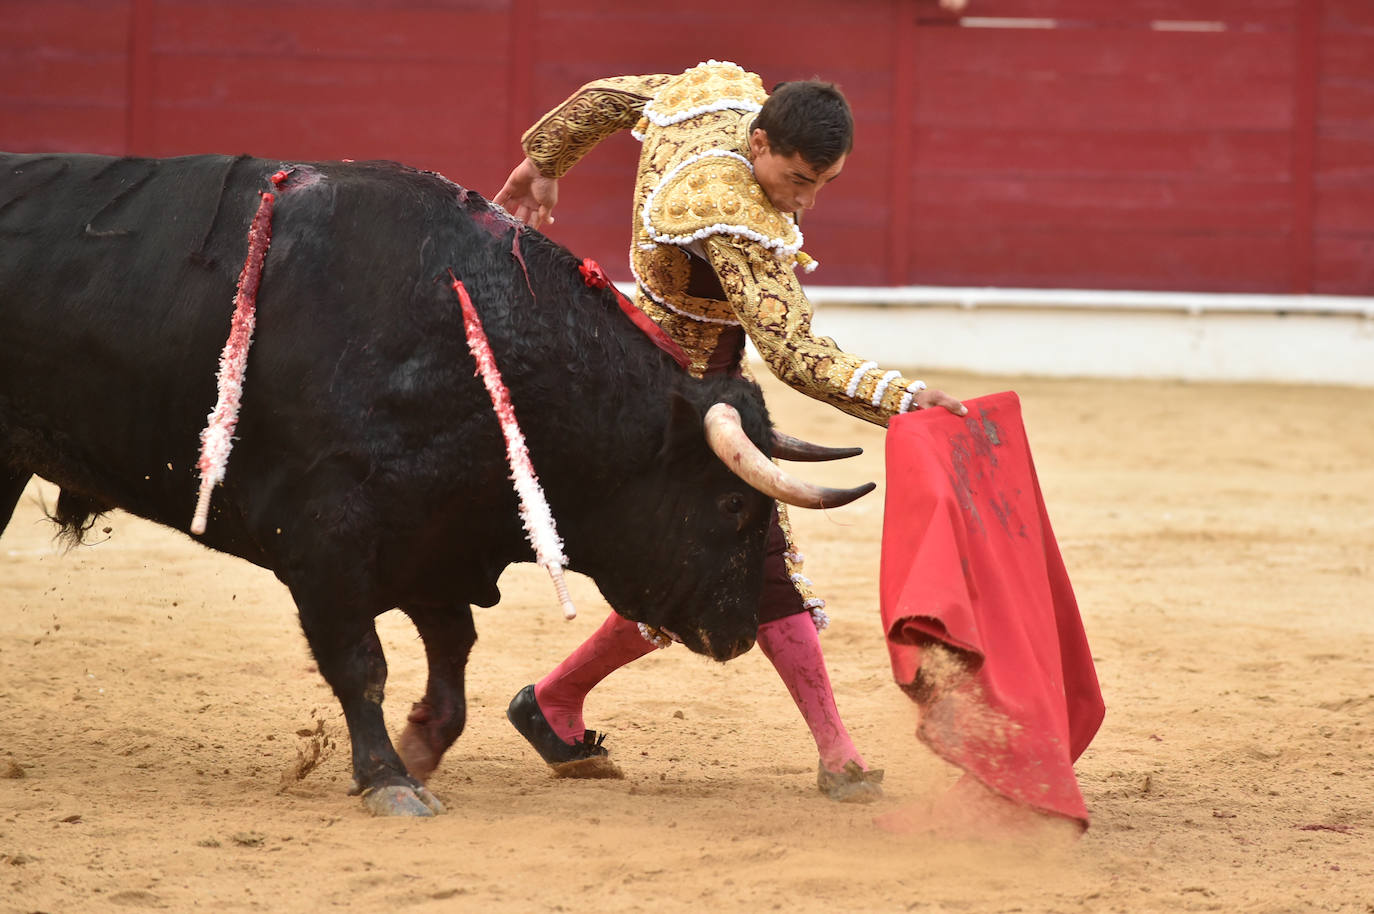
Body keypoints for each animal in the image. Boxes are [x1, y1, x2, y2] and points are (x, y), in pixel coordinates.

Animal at [0, 153, 868, 813]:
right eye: (730, 502)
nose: (739, 630)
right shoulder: (327, 547)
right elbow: (362, 663)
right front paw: (388, 780)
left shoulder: (432, 543)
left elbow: (453, 662)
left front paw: (418, 747)